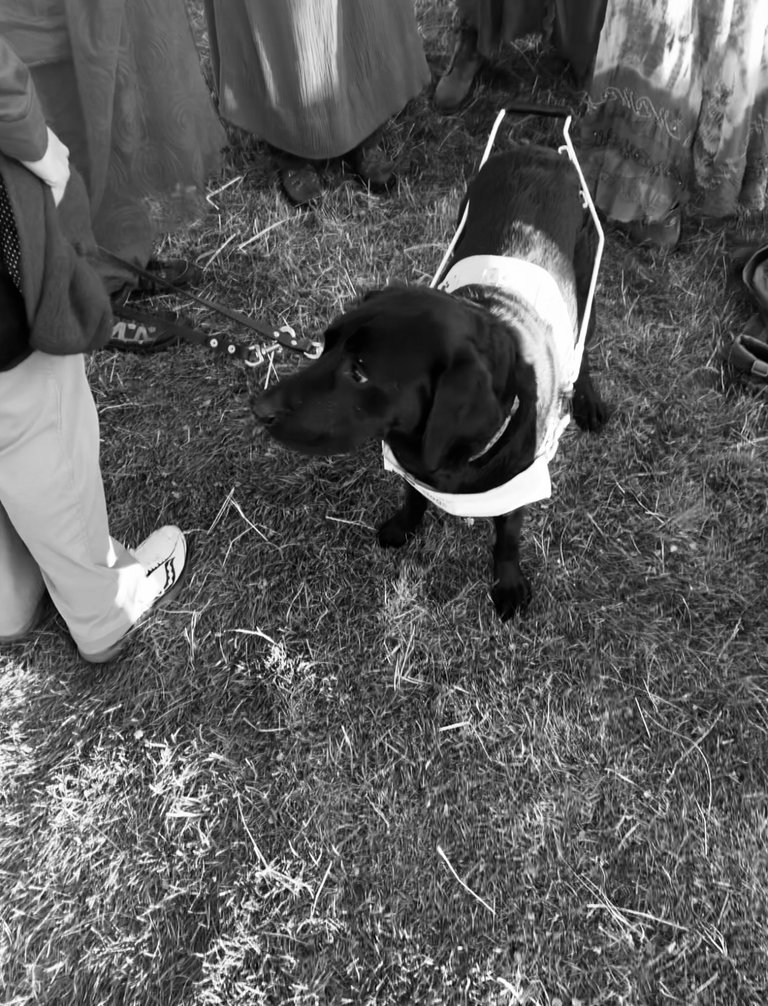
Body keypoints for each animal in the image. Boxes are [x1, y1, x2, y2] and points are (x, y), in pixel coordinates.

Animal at [255, 144, 607, 615]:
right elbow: (413, 494)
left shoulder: (519, 482)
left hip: (587, 280)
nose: (259, 409)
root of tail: (544, 150)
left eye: (360, 370)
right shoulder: (412, 465)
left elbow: (507, 536)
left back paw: (587, 399)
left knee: (582, 347)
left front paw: (508, 583)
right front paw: (404, 527)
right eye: (325, 345)